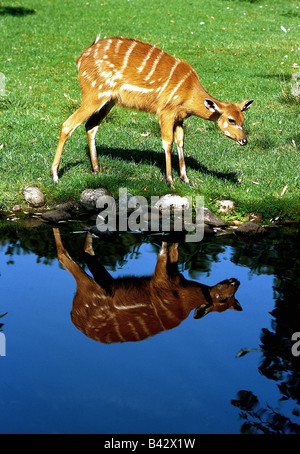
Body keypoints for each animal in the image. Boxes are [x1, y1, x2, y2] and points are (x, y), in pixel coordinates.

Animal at [51, 35, 253, 184]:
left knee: (90, 126)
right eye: (231, 120)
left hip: (109, 101)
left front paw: (186, 179)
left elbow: (181, 142)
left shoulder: (180, 117)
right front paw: (170, 180)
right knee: (67, 125)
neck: (189, 92)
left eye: (243, 120)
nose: (244, 141)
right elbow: (167, 142)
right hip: (94, 95)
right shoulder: (166, 112)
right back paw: (55, 175)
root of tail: (80, 59)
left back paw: (97, 170)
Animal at [54, 229, 241, 342]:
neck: (182, 295)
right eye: (223, 300)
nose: (236, 281)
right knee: (63, 256)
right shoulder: (160, 280)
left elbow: (172, 250)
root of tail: (74, 317)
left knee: (85, 251)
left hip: (103, 285)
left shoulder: (169, 275)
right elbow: (166, 248)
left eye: (232, 298)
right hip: (92, 290)